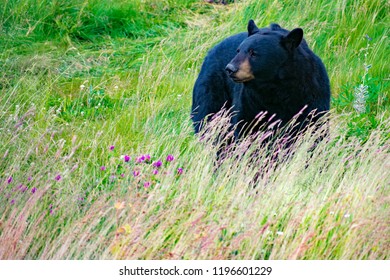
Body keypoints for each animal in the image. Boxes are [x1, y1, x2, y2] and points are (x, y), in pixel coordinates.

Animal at [191, 19, 330, 141]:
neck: (275, 87)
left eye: (254, 53)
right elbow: (245, 126)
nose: (230, 69)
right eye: (238, 50)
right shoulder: (251, 100)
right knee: (207, 117)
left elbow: (312, 126)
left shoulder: (311, 95)